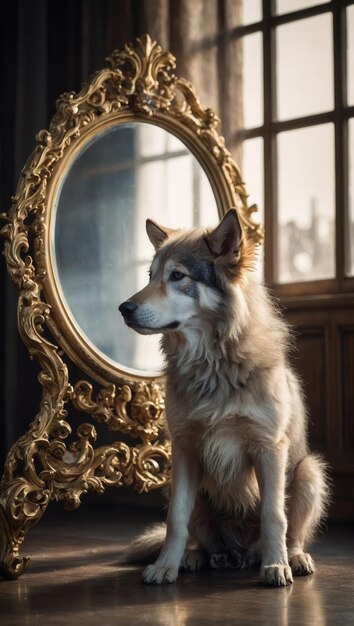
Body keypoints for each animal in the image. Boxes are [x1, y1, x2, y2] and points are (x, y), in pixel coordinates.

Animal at [119, 207, 330, 584]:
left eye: (178, 276)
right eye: (150, 275)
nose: (124, 308)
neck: (212, 363)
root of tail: (240, 553)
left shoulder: (269, 449)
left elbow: (274, 515)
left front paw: (275, 566)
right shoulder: (184, 450)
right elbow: (176, 519)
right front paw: (165, 565)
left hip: (310, 472)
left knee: (293, 532)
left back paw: (292, 557)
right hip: (174, 483)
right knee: (202, 539)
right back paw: (198, 557)